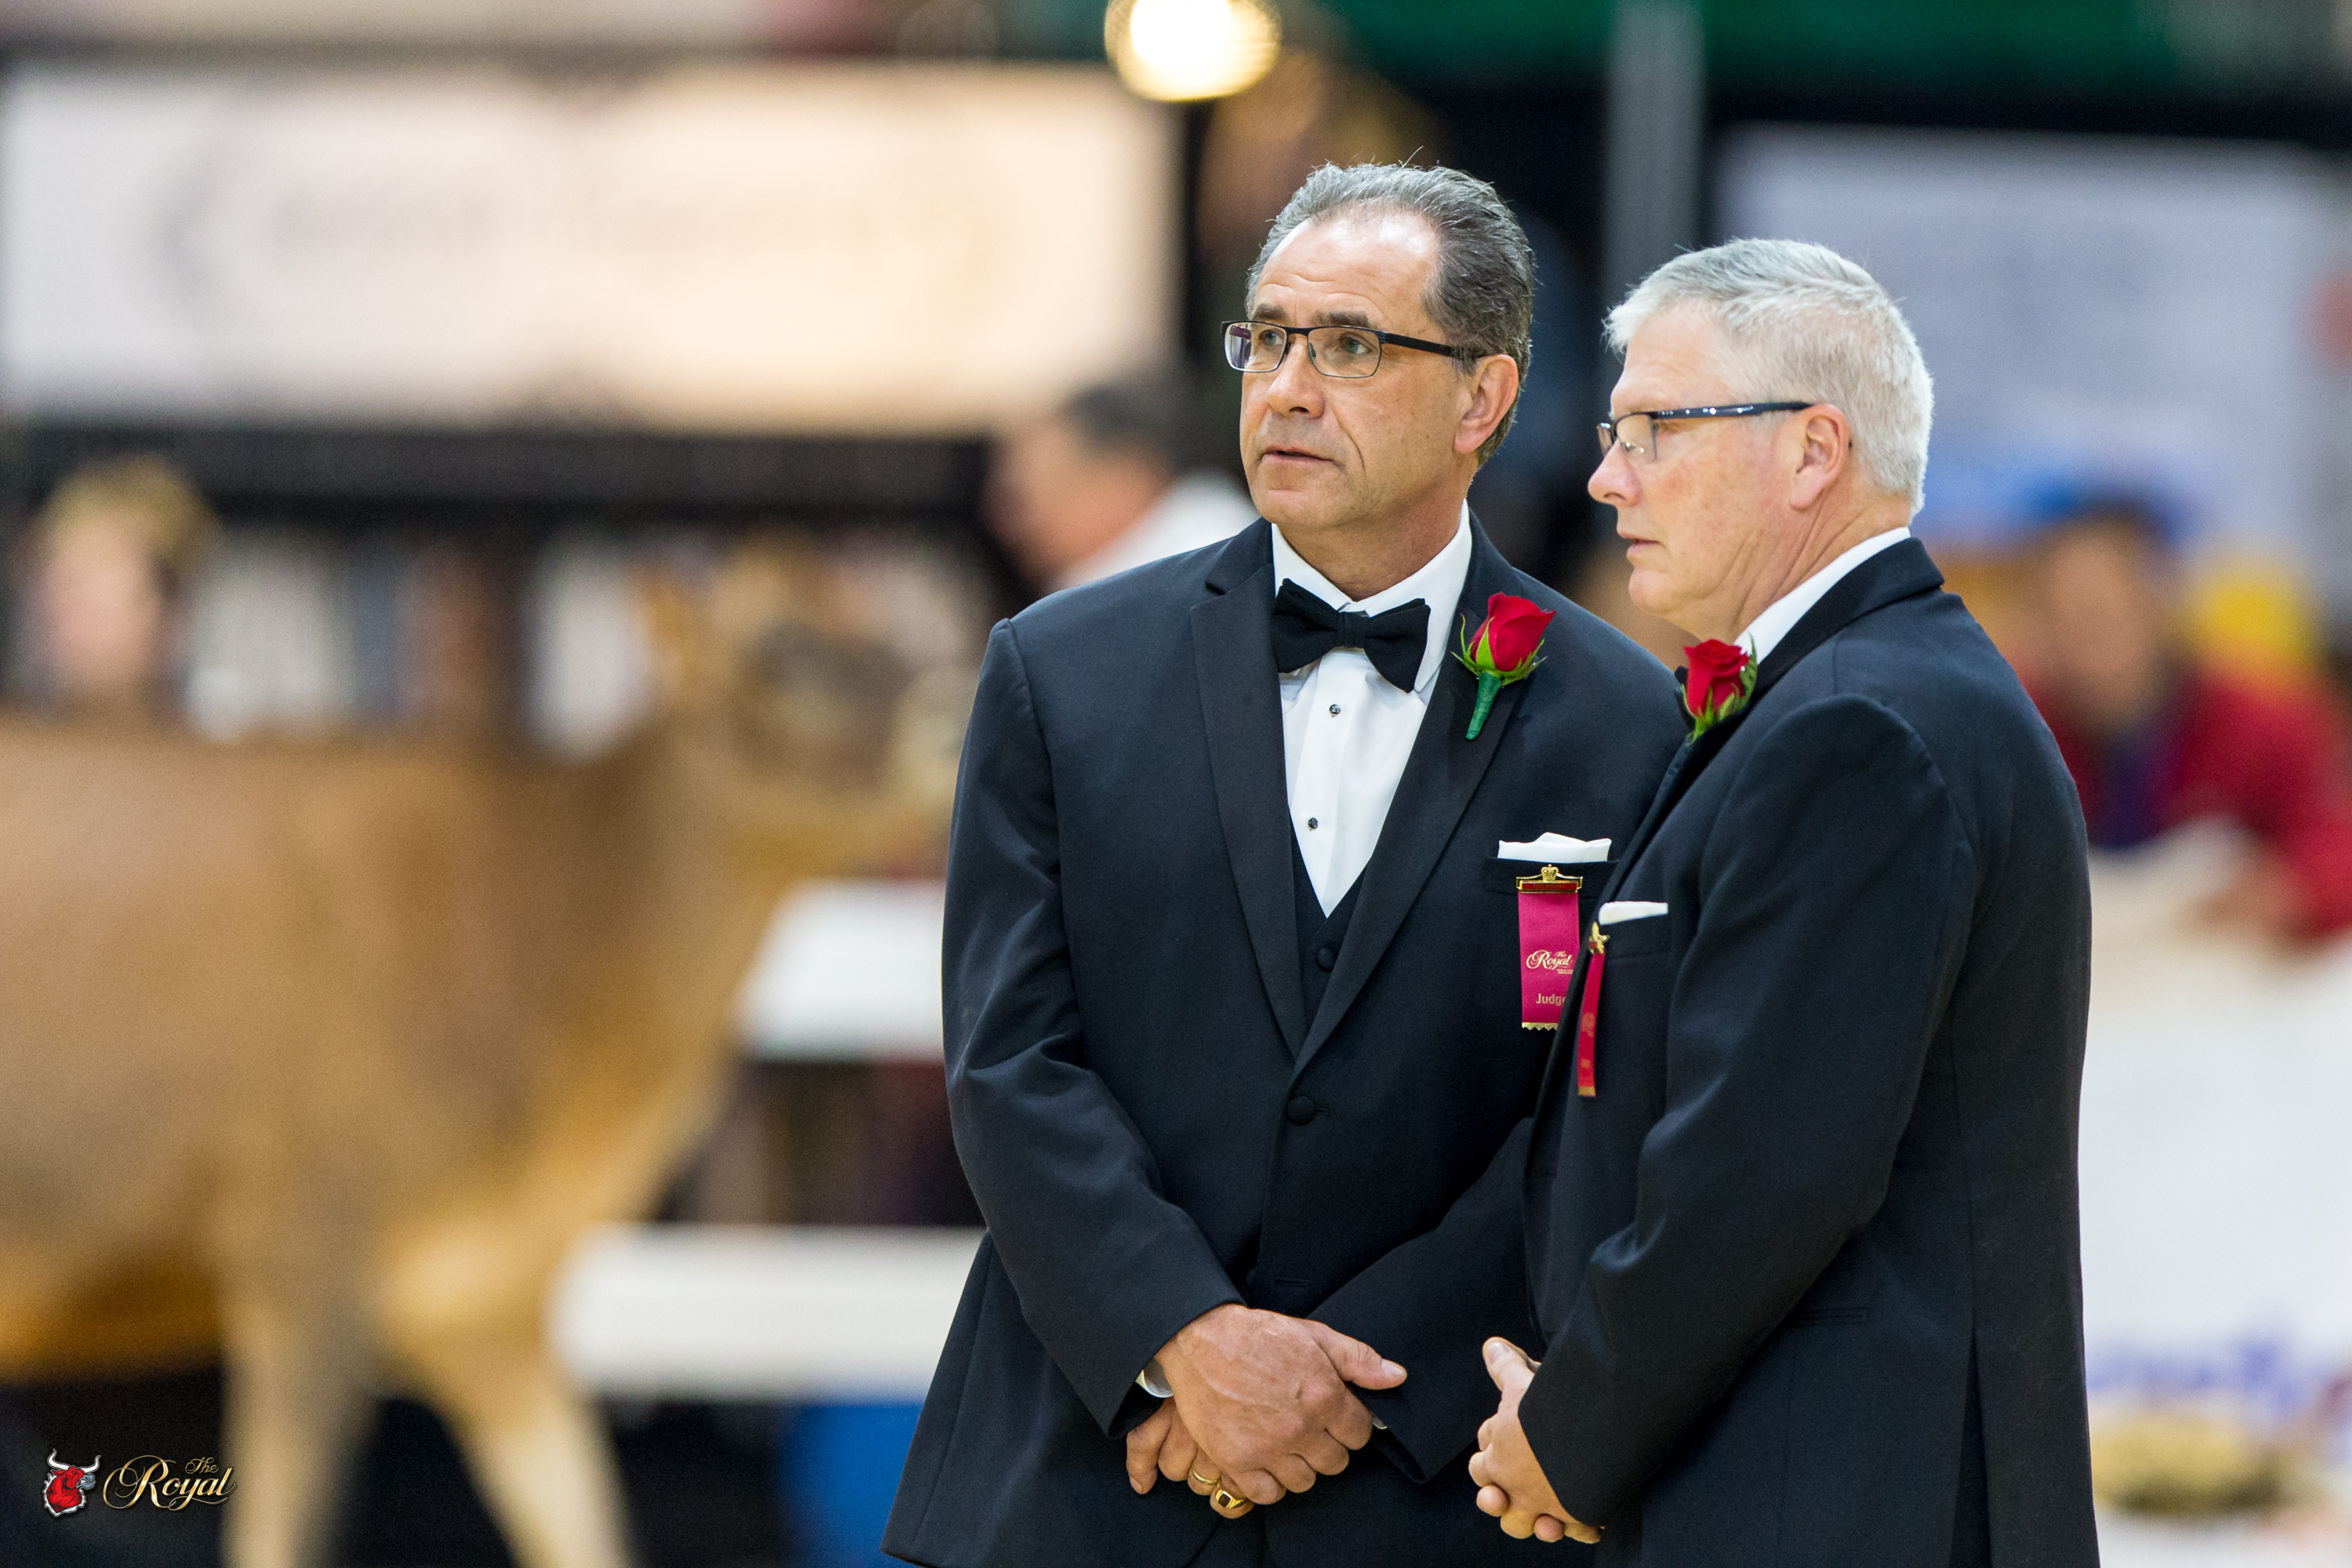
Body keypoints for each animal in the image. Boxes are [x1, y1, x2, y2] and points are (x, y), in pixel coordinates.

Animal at [0, 545, 960, 1568]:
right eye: (777, 654)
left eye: (877, 629)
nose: (948, 709)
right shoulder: (303, 1252)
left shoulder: (492, 1313)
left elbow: (588, 1527)